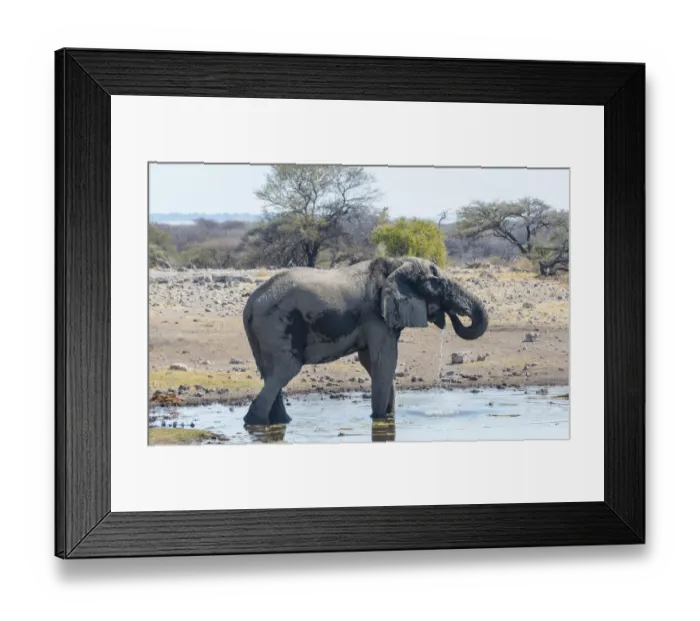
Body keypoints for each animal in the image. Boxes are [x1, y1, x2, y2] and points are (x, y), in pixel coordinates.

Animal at [242, 256, 489, 426]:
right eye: (437, 283)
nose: (453, 315)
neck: (396, 263)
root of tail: (250, 304)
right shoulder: (375, 315)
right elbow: (384, 361)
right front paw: (379, 418)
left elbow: (372, 362)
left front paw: (387, 416)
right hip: (277, 324)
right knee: (286, 369)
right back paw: (255, 421)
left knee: (270, 373)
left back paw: (280, 422)